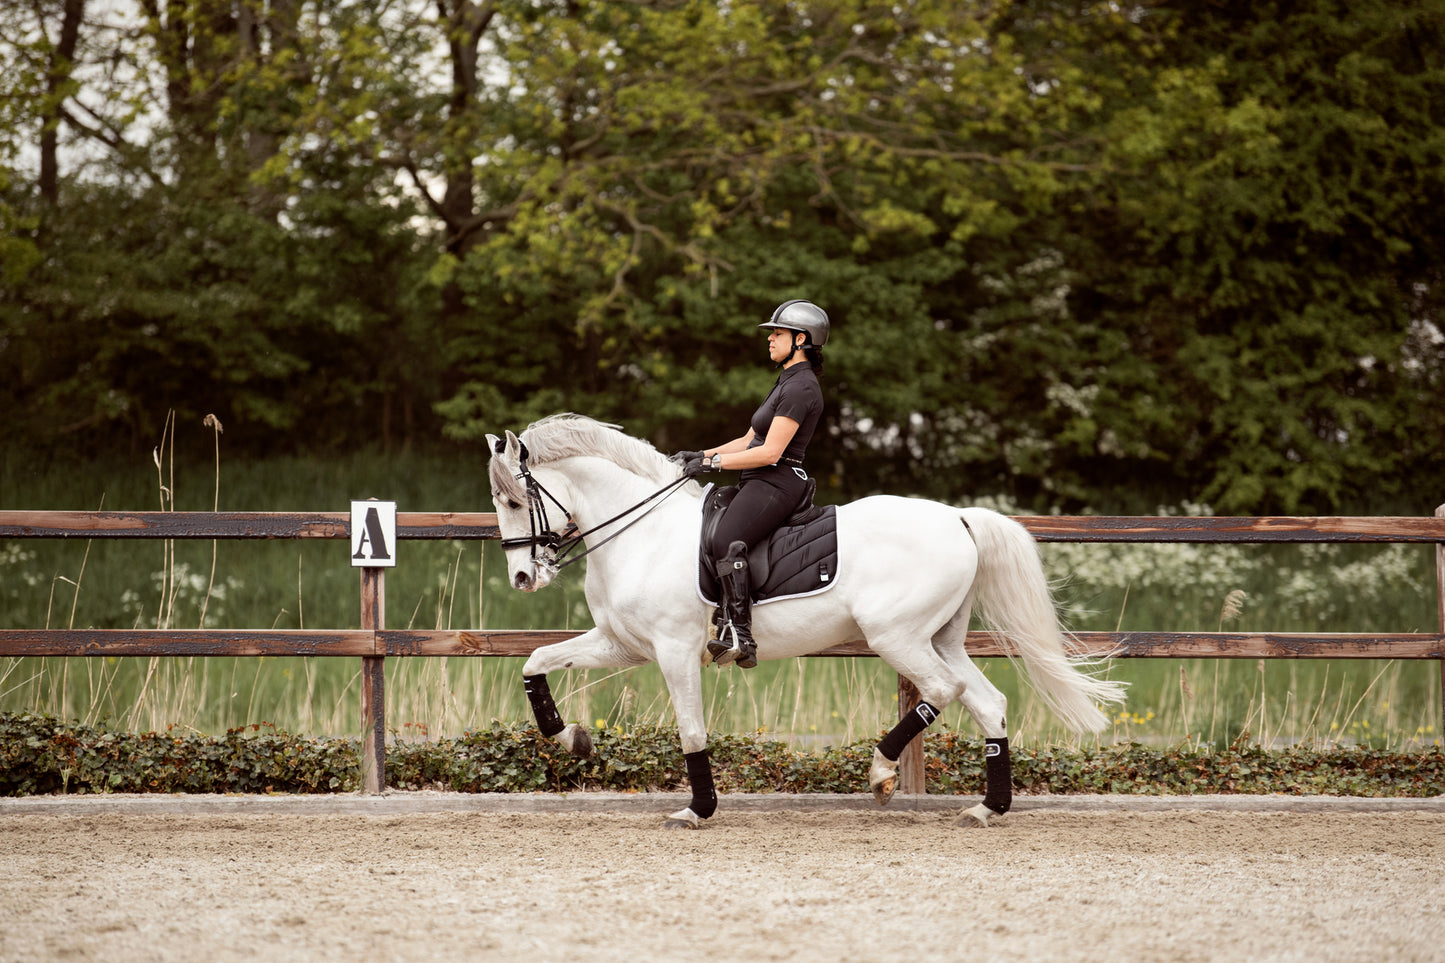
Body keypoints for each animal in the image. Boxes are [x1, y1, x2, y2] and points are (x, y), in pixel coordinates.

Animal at [488, 413, 1127, 827]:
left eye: (515, 501)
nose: (521, 578)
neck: (641, 532)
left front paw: (697, 809)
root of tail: (958, 518)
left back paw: (881, 772)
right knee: (988, 701)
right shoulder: (622, 644)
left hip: (896, 636)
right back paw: (986, 807)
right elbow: (535, 661)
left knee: (944, 690)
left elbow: (692, 730)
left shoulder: (672, 650)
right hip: (940, 637)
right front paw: (573, 738)